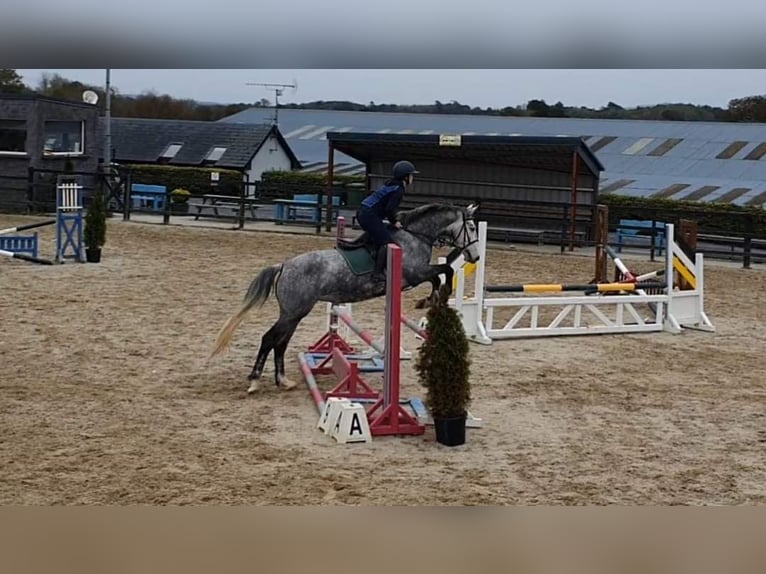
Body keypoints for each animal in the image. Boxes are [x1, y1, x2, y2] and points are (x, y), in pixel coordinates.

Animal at [212, 204, 480, 396]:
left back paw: (284, 381)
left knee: (281, 343)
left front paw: (430, 300)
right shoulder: (415, 273)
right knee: (269, 339)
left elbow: (442, 273)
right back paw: (255, 382)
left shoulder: (417, 274)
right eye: (472, 228)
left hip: (295, 314)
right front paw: (432, 299)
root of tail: (284, 265)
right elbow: (444, 271)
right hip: (292, 313)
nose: (475, 257)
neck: (416, 236)